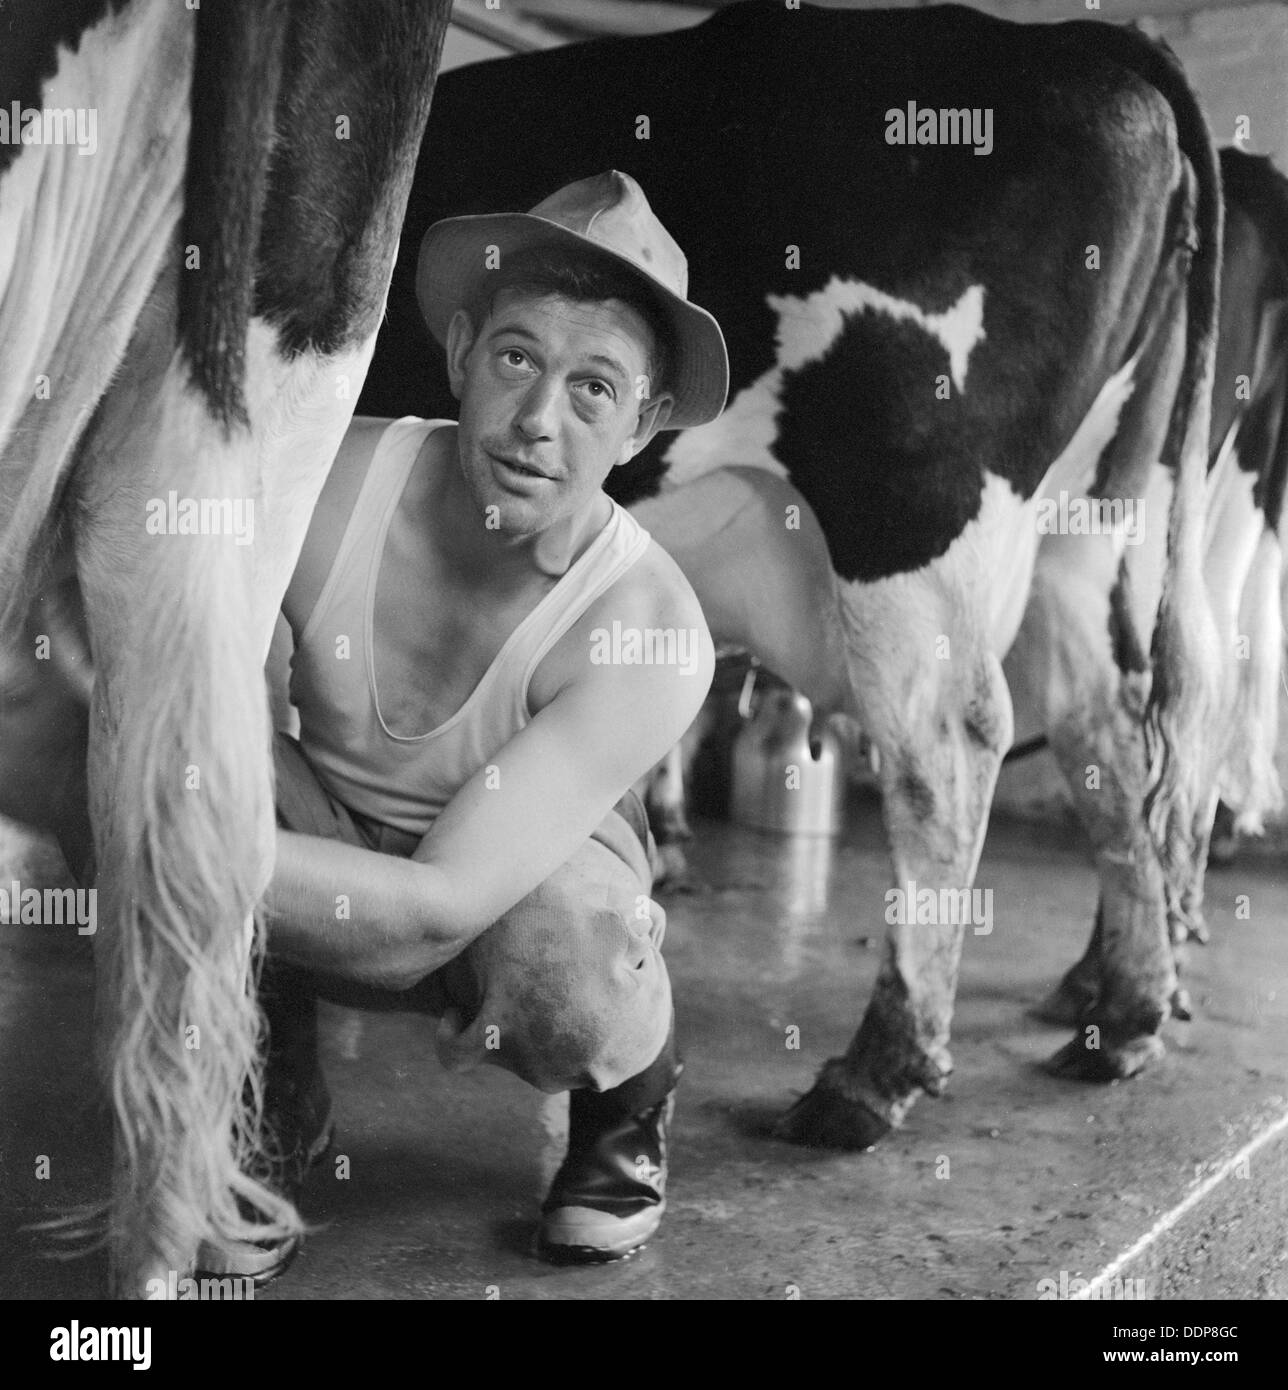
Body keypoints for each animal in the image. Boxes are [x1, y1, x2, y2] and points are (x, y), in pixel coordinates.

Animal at [358, 2, 1222, 1150]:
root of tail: (1079, 42)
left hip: (907, 502)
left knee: (948, 745)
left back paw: (875, 1074)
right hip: (1094, 514)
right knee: (1109, 725)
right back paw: (1122, 1014)